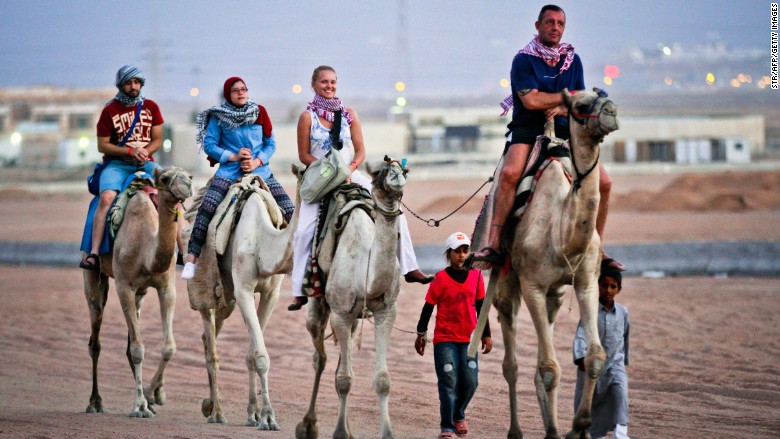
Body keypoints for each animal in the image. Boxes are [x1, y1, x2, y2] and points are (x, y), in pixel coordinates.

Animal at [82, 167, 193, 418]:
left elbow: (168, 347)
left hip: (140, 294)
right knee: (95, 341)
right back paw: (95, 402)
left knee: (128, 342)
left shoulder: (166, 287)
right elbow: (138, 349)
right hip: (93, 279)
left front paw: (154, 395)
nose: (188, 185)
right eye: (165, 179)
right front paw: (139, 406)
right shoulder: (124, 287)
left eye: (188, 175)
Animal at [187, 172, 302, 430]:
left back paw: (209, 405)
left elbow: (252, 354)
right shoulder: (244, 291)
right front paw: (268, 417)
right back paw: (217, 412)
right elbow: (260, 356)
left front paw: (254, 414)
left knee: (208, 337)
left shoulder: (271, 293)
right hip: (208, 290)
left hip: (227, 297)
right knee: (211, 346)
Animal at [298, 157, 408, 439]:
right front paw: (337, 433)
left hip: (356, 317)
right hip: (319, 307)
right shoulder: (340, 314)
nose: (396, 177)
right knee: (320, 358)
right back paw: (308, 425)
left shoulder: (386, 311)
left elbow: (382, 380)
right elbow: (343, 380)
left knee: (338, 361)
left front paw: (387, 433)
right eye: (380, 171)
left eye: (405, 169)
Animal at [470, 87, 620, 438]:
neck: (563, 232)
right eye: (581, 104)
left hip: (556, 295)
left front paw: (579, 427)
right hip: (507, 285)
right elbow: (549, 367)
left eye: (604, 94)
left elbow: (595, 356)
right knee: (511, 365)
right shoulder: (533, 286)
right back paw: (515, 431)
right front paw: (557, 430)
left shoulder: (585, 282)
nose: (611, 112)